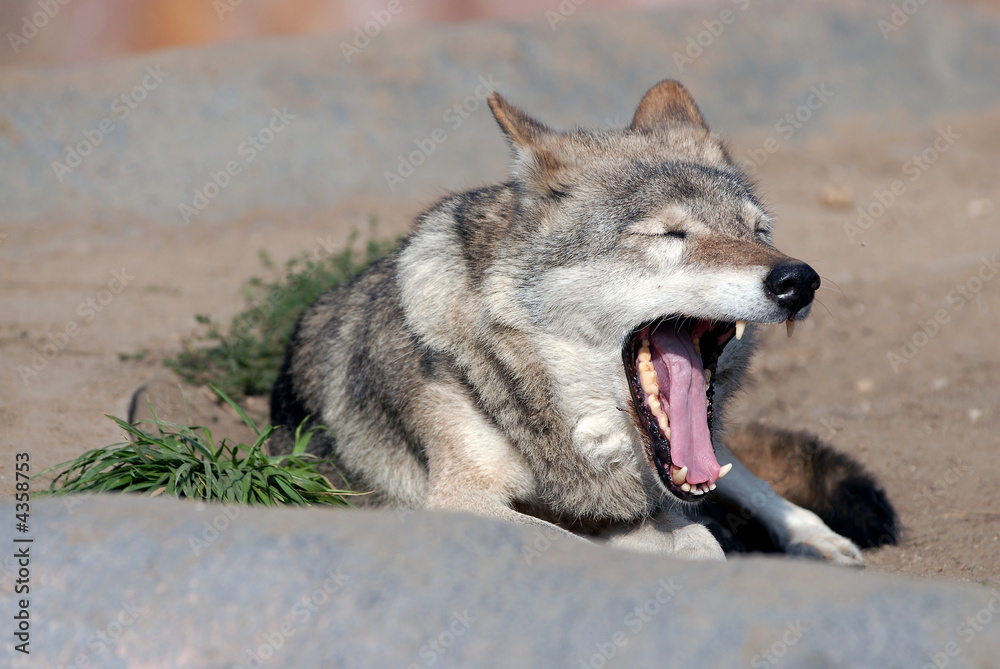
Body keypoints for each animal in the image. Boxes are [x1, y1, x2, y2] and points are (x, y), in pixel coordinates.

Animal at [270, 80, 897, 564]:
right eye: (670, 234)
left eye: (758, 232)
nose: (798, 280)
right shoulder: (456, 499)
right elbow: (585, 539)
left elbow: (698, 535)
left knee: (741, 474)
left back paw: (817, 539)